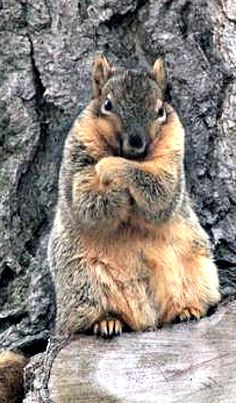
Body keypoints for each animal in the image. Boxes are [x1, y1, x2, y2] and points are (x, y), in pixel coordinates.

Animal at [48, 54, 221, 338]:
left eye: (160, 110)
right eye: (107, 104)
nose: (136, 141)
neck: (132, 156)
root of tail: (146, 320)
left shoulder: (172, 159)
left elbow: (159, 192)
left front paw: (111, 166)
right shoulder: (77, 162)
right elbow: (87, 202)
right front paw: (106, 170)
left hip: (198, 271)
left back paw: (187, 310)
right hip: (85, 284)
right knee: (98, 315)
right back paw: (108, 322)